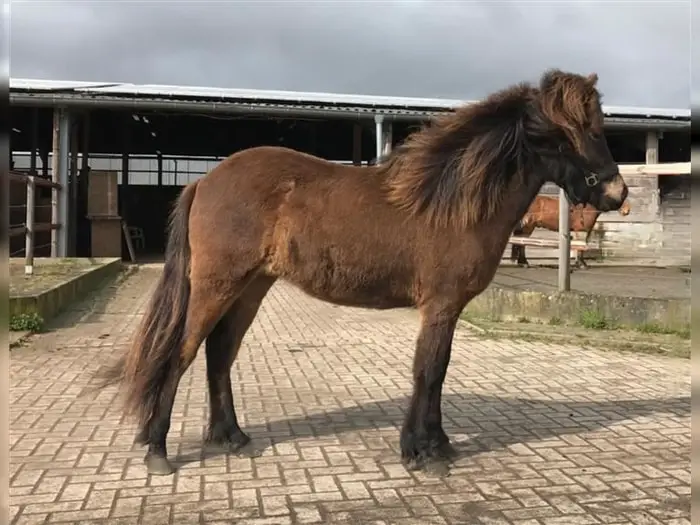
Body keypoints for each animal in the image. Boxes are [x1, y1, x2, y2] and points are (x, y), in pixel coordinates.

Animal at [97, 68, 628, 474]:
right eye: (577, 131)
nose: (617, 194)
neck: (450, 201)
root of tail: (204, 181)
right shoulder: (439, 305)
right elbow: (429, 370)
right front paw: (421, 453)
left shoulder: (448, 309)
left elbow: (438, 372)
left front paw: (438, 444)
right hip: (216, 285)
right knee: (180, 353)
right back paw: (158, 451)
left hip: (250, 287)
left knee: (219, 355)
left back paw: (230, 436)